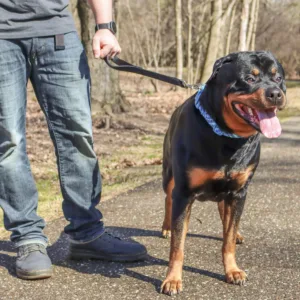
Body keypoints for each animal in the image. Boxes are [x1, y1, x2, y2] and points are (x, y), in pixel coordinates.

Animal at [161, 51, 288, 296]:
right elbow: (177, 246)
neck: (228, 137)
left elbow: (228, 238)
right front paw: (172, 279)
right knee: (168, 199)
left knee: (226, 213)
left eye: (278, 78)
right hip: (169, 175)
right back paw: (166, 227)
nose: (276, 93)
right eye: (249, 78)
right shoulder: (184, 192)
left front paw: (232, 270)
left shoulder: (239, 191)